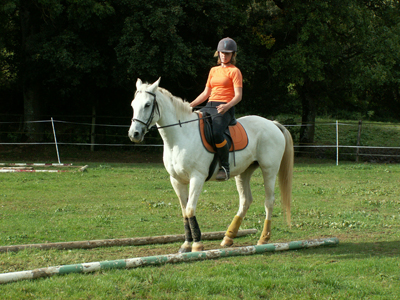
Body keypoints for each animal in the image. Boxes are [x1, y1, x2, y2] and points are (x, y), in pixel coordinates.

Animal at [128, 78, 294, 253]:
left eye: (147, 105)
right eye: (133, 104)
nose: (134, 134)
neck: (181, 136)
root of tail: (272, 123)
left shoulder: (197, 178)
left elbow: (190, 209)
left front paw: (197, 244)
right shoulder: (176, 180)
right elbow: (184, 211)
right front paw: (186, 244)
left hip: (269, 170)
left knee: (269, 201)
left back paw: (263, 238)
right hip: (244, 172)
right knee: (245, 201)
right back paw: (228, 238)